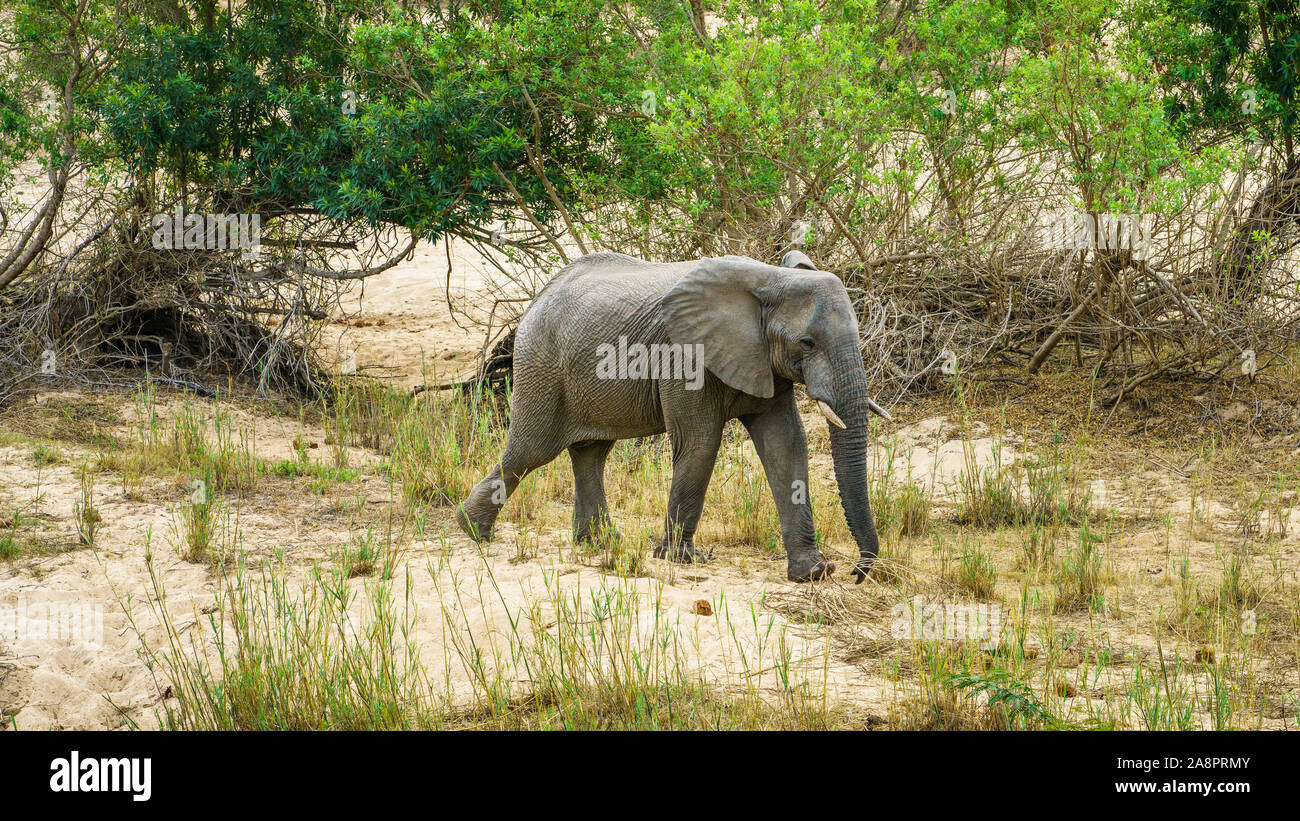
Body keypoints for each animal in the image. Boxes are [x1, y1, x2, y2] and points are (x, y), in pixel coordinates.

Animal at [457, 246, 894, 579]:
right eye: (807, 343)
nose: (857, 572)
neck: (770, 278)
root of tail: (537, 300)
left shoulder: (764, 362)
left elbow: (785, 445)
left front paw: (813, 573)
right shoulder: (685, 354)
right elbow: (700, 442)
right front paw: (682, 559)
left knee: (591, 452)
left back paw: (600, 543)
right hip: (541, 364)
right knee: (530, 452)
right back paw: (472, 531)